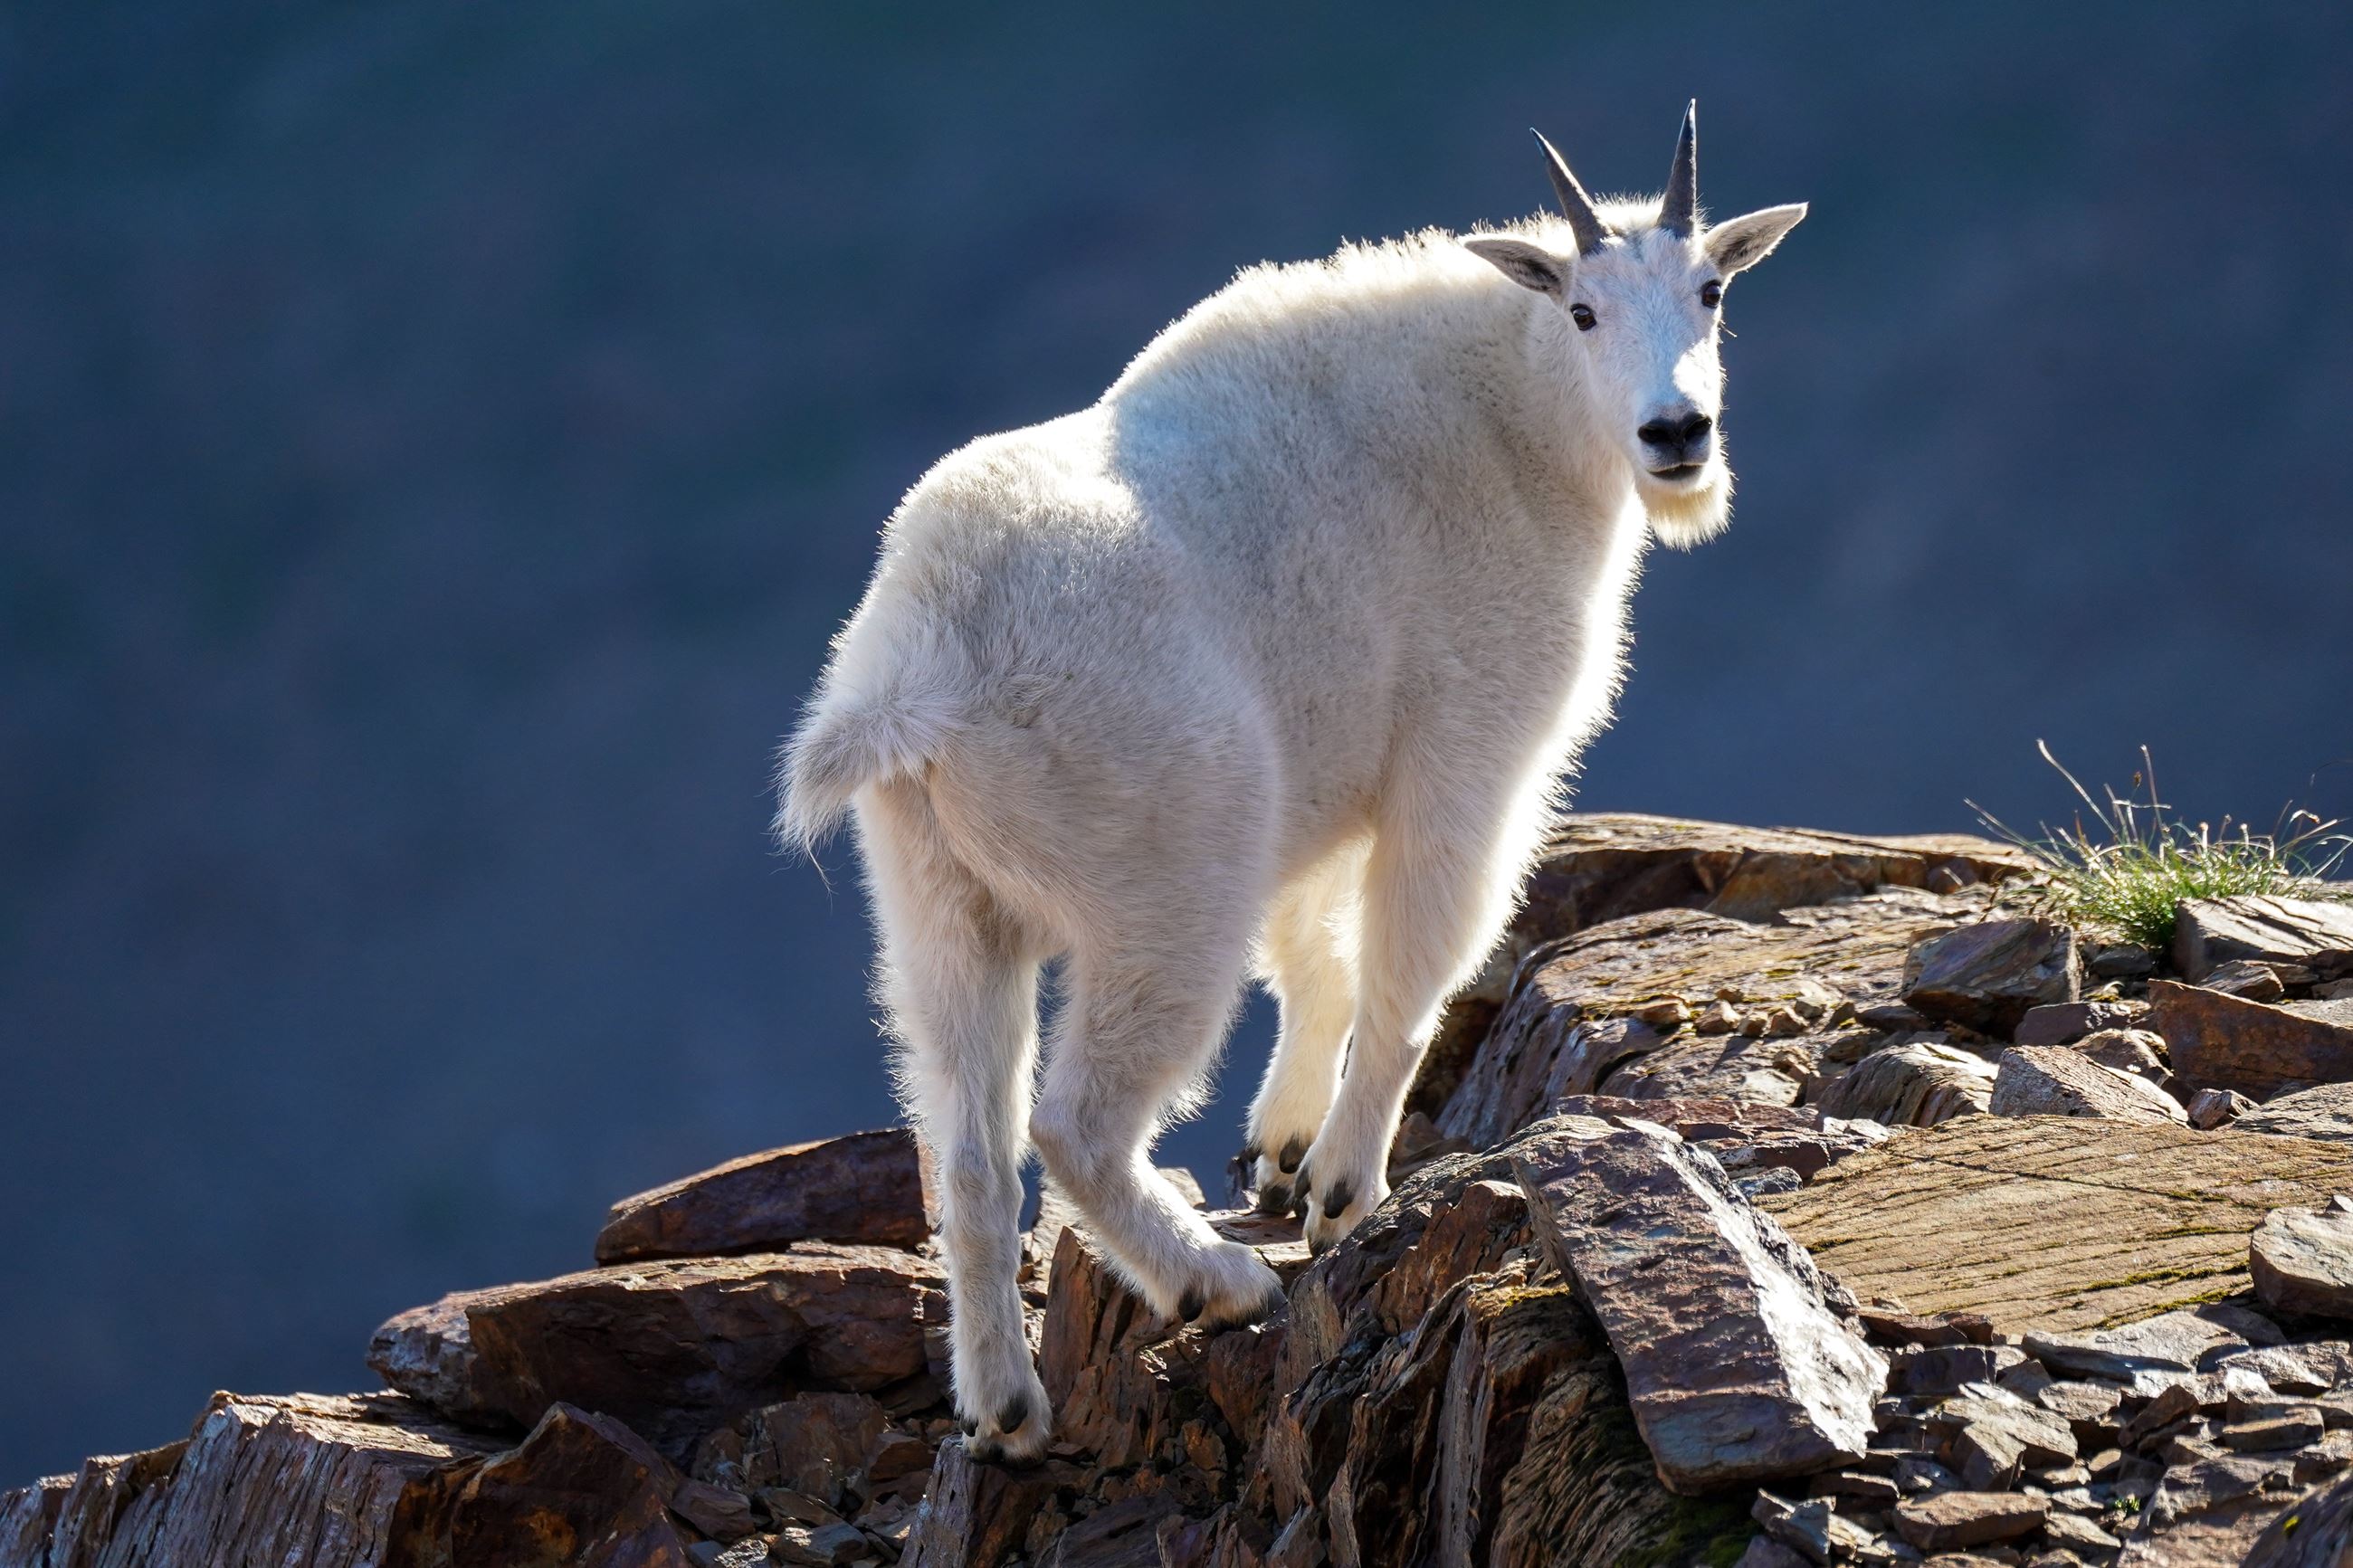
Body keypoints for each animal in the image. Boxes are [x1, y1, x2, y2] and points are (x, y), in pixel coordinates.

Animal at [778, 104, 1806, 1463]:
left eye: (1710, 291)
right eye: (1583, 309)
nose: (1677, 436)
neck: (1507, 420)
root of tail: (920, 662)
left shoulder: (1314, 792)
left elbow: (1313, 956)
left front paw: (1277, 1148)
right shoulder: (1464, 754)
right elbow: (1406, 967)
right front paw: (1337, 1190)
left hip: (942, 903)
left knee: (966, 1152)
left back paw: (1005, 1405)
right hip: (1165, 883)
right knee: (1075, 1122)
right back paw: (1215, 1282)